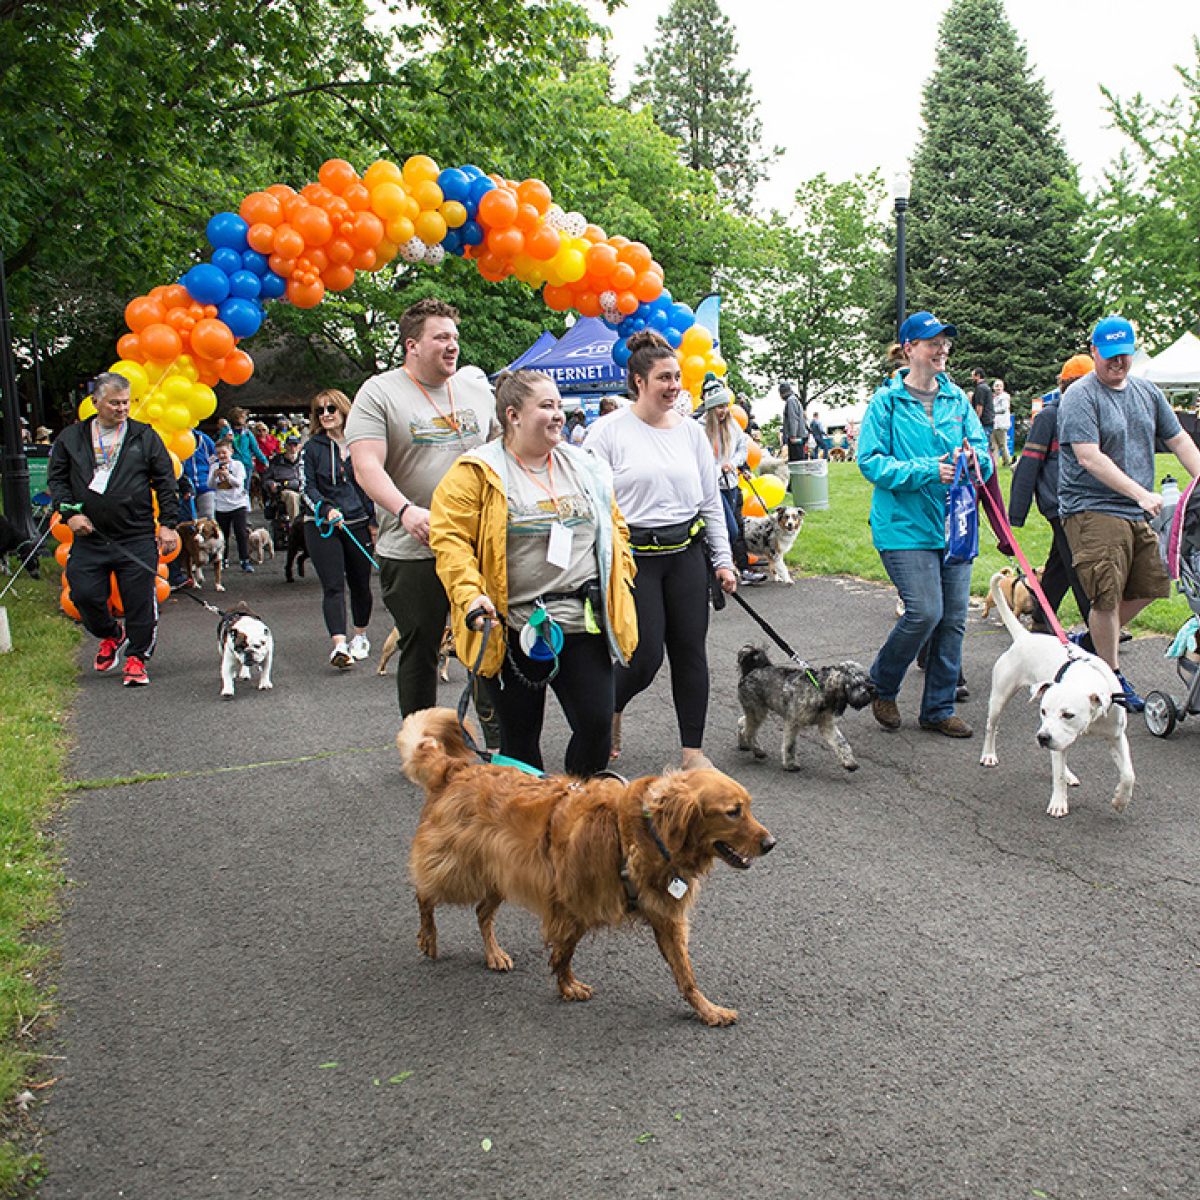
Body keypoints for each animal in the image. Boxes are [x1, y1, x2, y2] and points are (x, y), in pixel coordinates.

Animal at [400, 705, 777, 1027]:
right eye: (733, 812)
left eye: (749, 807)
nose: (771, 843)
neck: (640, 834)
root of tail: (457, 769)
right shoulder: (572, 904)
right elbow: (565, 952)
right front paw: (567, 985)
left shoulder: (664, 916)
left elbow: (686, 976)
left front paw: (708, 1009)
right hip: (457, 868)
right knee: (424, 892)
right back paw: (428, 936)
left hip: (500, 873)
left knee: (481, 911)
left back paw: (494, 953)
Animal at [734, 643, 878, 772]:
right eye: (856, 683)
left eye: (867, 679)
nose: (872, 689)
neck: (820, 691)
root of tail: (752, 671)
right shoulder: (793, 722)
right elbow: (790, 745)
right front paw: (790, 765)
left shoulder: (826, 724)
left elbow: (841, 742)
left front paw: (849, 762)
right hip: (757, 710)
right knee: (748, 731)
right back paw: (757, 750)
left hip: (757, 711)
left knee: (742, 722)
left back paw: (744, 745)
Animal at [979, 568, 1128, 816]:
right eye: (1044, 711)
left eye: (1068, 714)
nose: (1042, 738)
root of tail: (1025, 637)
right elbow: (1056, 773)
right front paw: (1059, 802)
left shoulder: (1116, 736)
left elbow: (1128, 774)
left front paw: (1120, 800)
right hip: (1000, 699)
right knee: (992, 727)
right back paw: (989, 755)